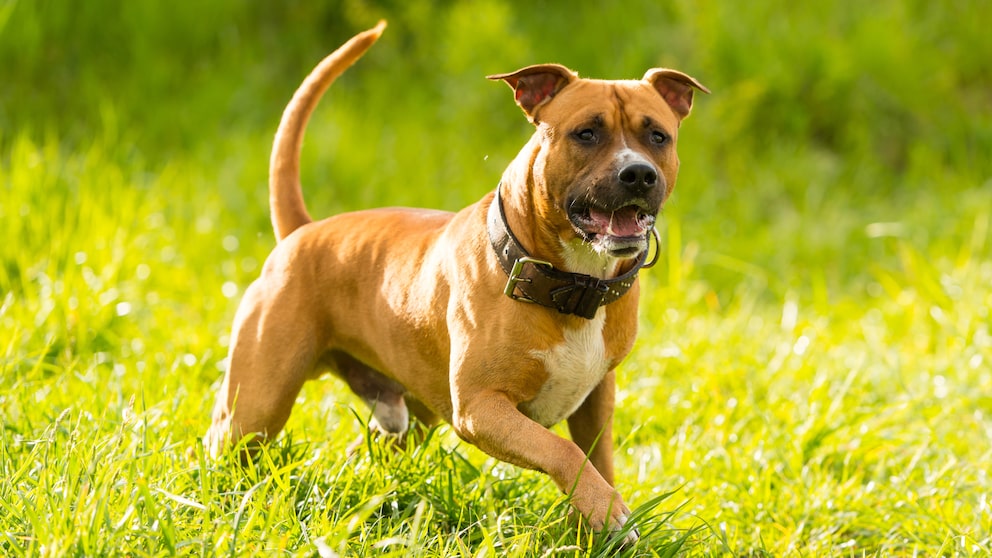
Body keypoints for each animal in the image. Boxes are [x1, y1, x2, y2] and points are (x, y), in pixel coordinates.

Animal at [207, 21, 704, 544]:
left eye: (658, 136)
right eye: (586, 133)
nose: (638, 174)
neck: (570, 283)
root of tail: (303, 231)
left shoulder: (595, 401)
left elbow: (596, 461)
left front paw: (598, 522)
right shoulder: (482, 409)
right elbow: (563, 452)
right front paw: (607, 512)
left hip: (409, 416)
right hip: (255, 407)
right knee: (227, 440)